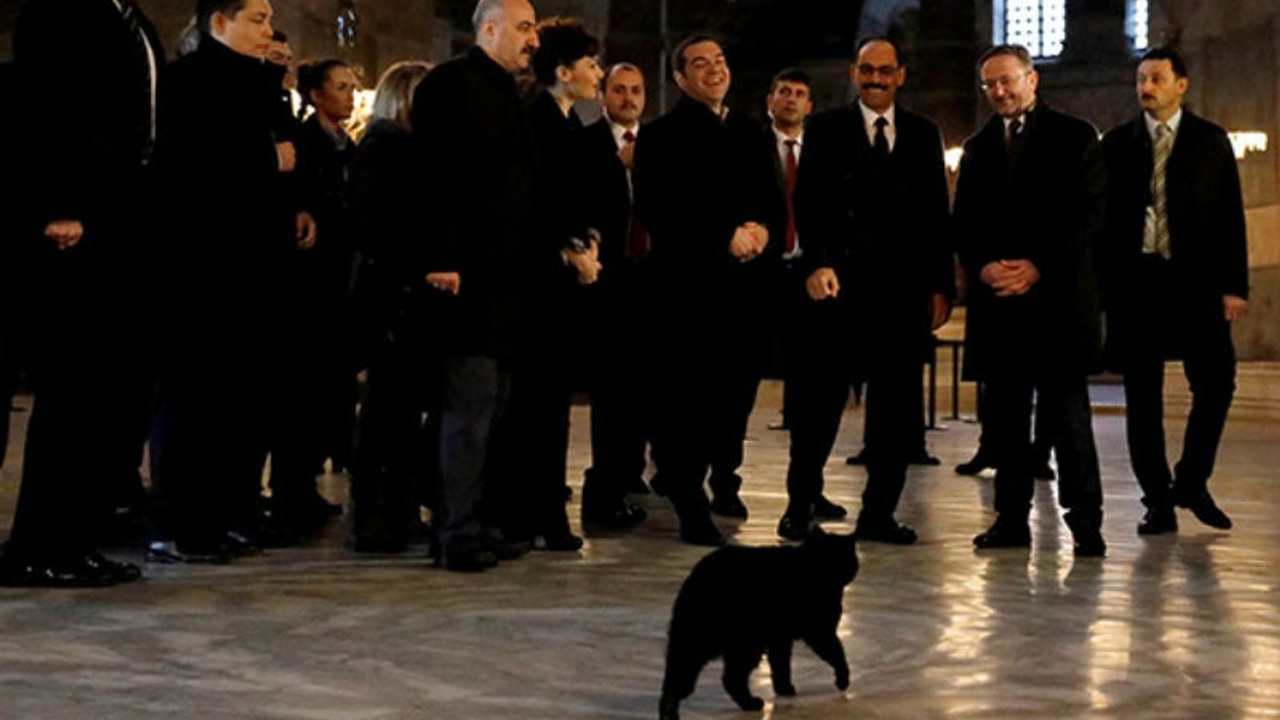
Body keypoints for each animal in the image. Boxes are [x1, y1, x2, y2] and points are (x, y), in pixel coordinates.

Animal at [660, 527, 860, 717]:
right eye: (832, 557)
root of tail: (697, 578)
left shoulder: (780, 638)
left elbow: (781, 664)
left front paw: (784, 688)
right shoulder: (819, 631)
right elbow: (837, 653)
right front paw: (843, 680)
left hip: (693, 639)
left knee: (676, 676)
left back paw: (669, 710)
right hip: (746, 644)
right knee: (731, 678)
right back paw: (751, 703)